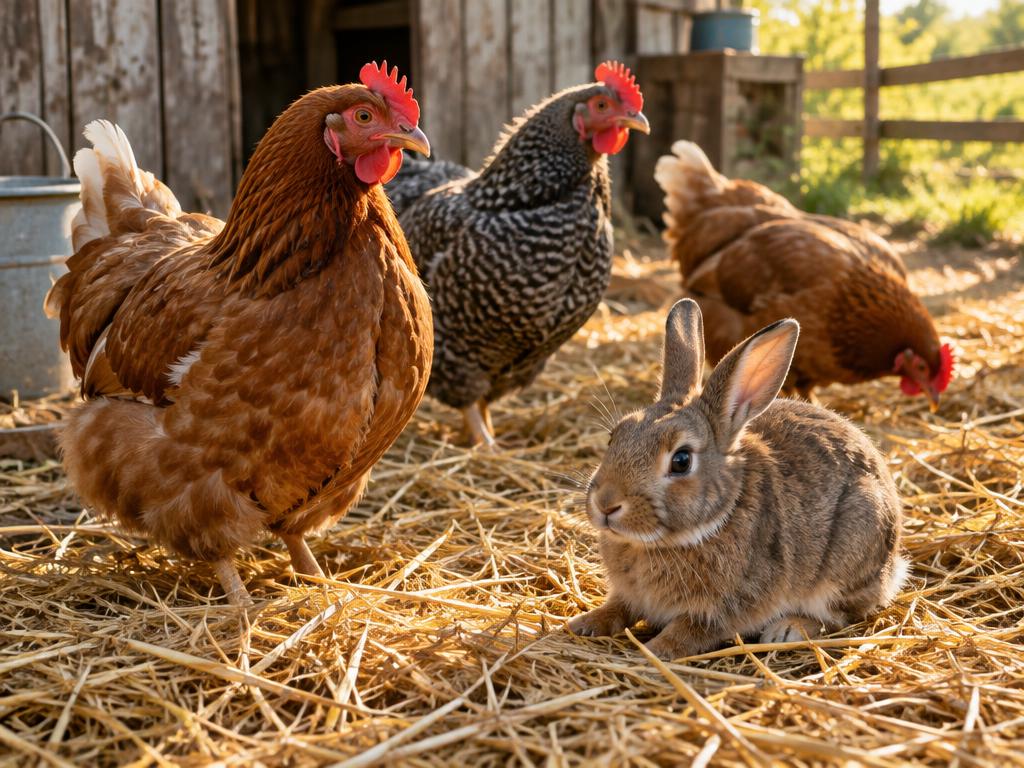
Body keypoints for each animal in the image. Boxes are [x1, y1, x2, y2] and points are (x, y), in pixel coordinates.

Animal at [568, 299, 909, 659]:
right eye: (614, 437)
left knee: (839, 615)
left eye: (681, 461)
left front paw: (657, 650)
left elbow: (689, 630)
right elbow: (619, 607)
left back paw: (787, 629)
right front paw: (584, 623)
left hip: (851, 549)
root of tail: (893, 569)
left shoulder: (725, 607)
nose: (606, 503)